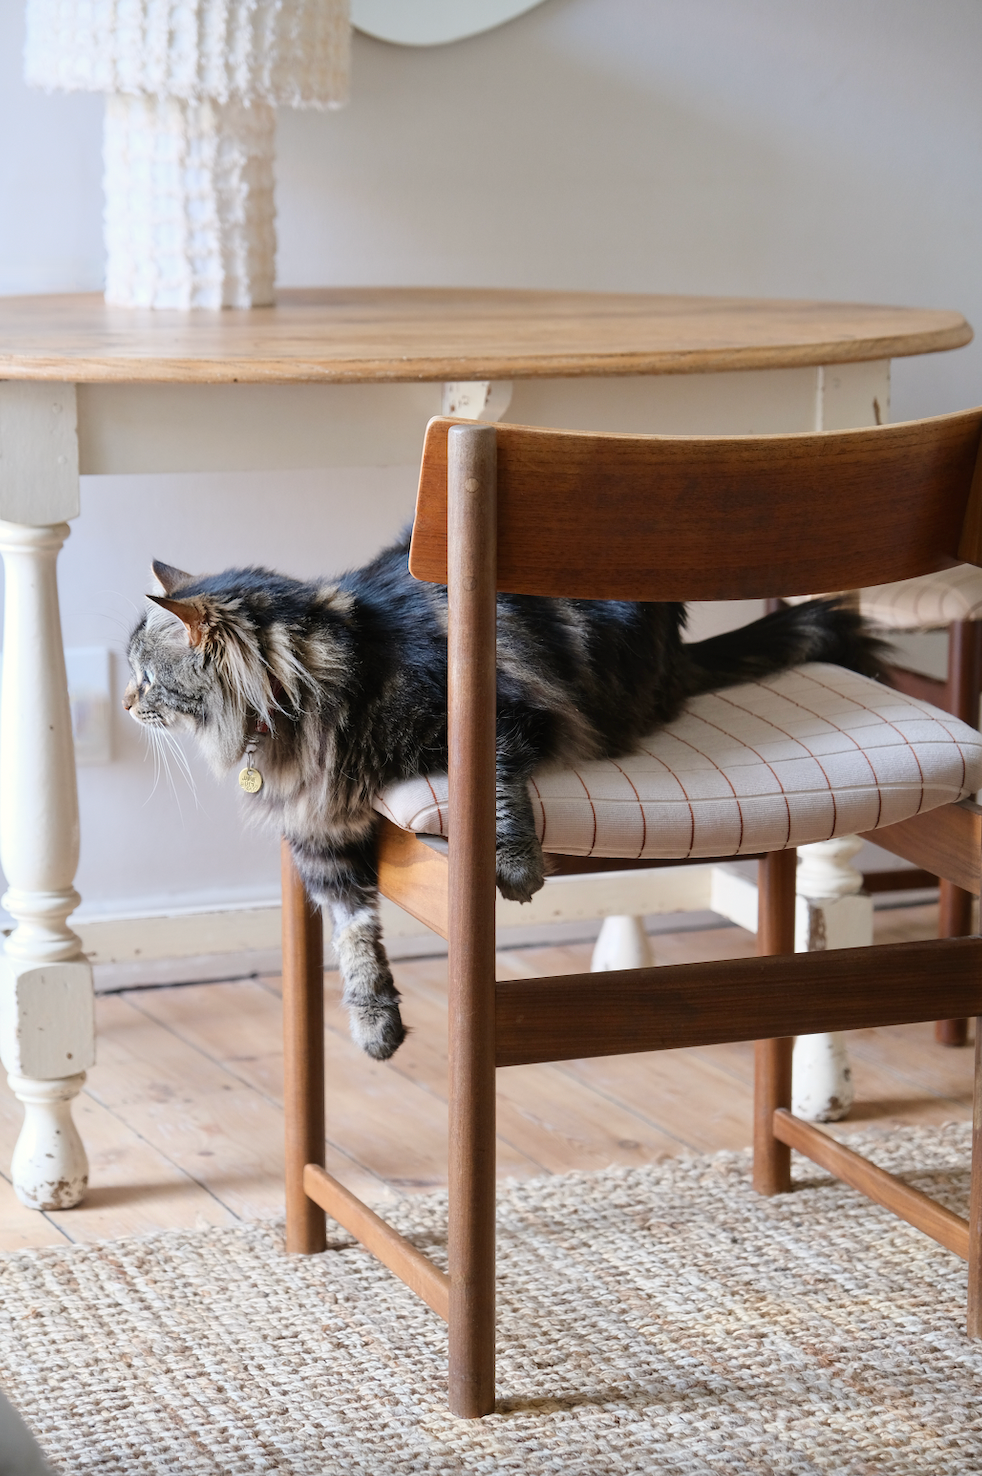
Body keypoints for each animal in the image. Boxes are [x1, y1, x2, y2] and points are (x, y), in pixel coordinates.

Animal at [124, 534, 886, 1062]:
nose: (127, 703)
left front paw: (517, 868)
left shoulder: (491, 717)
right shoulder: (323, 835)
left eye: (145, 675)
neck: (310, 691)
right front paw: (375, 1027)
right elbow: (356, 939)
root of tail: (678, 654)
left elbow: (496, 791)